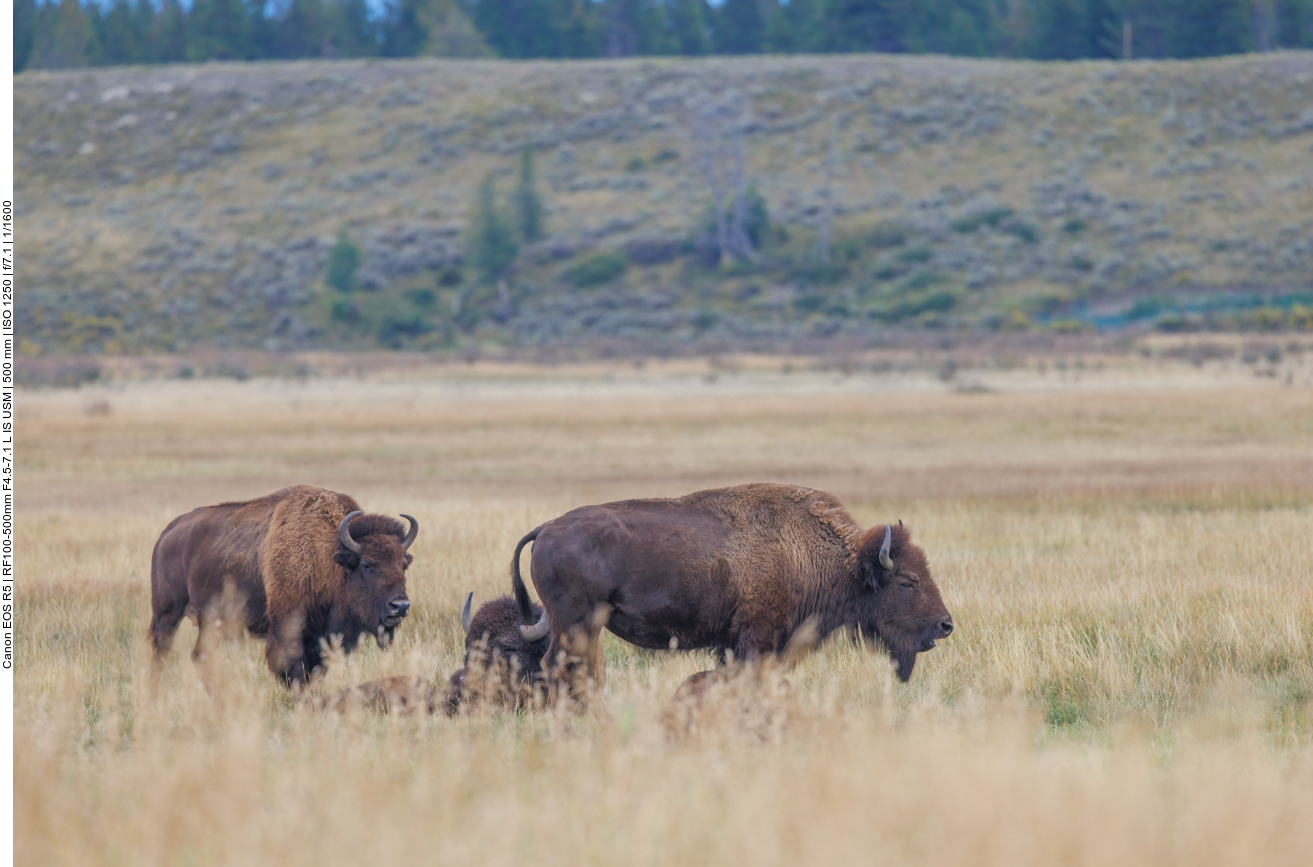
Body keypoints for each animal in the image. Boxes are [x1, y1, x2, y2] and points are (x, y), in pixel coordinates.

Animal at [152, 483, 420, 688]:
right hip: (168, 613)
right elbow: (294, 670)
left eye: (403, 564)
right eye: (366, 564)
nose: (400, 606)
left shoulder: (320, 637)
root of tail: (168, 533)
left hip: (210, 622)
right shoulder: (288, 629)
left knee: (199, 657)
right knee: (161, 653)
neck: (327, 556)